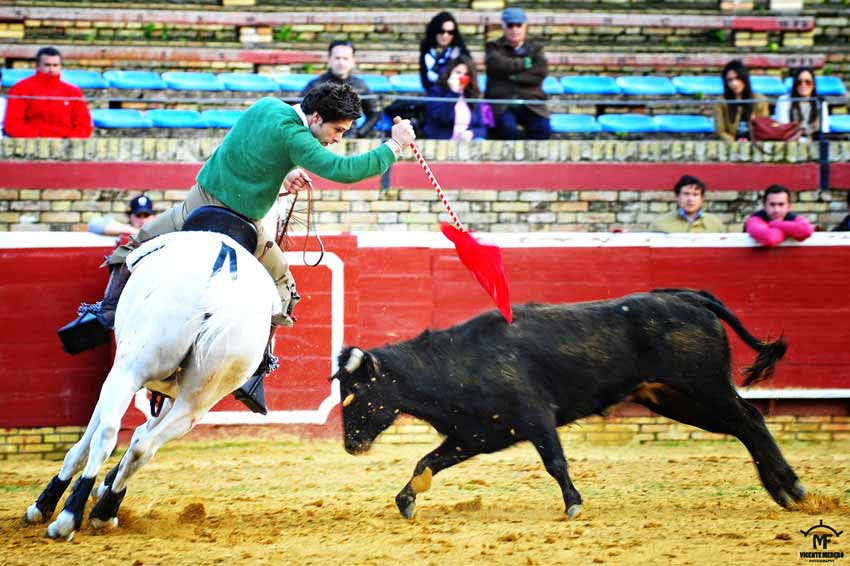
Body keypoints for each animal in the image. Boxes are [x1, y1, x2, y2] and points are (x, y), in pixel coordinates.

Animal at [22, 231, 278, 540]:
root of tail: (222, 278)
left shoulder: (117, 375)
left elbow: (84, 445)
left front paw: (43, 505)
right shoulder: (170, 397)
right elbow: (139, 435)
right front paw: (105, 492)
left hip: (128, 372)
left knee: (107, 435)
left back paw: (68, 518)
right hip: (197, 402)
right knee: (143, 448)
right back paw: (105, 511)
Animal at [330, 290, 800, 520]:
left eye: (356, 394)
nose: (351, 445)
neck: (458, 362)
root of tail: (691, 298)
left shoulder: (536, 418)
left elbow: (555, 462)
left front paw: (573, 503)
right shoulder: (474, 435)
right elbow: (426, 463)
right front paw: (406, 502)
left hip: (704, 386)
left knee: (751, 419)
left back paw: (792, 487)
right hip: (676, 399)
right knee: (742, 426)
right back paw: (782, 491)